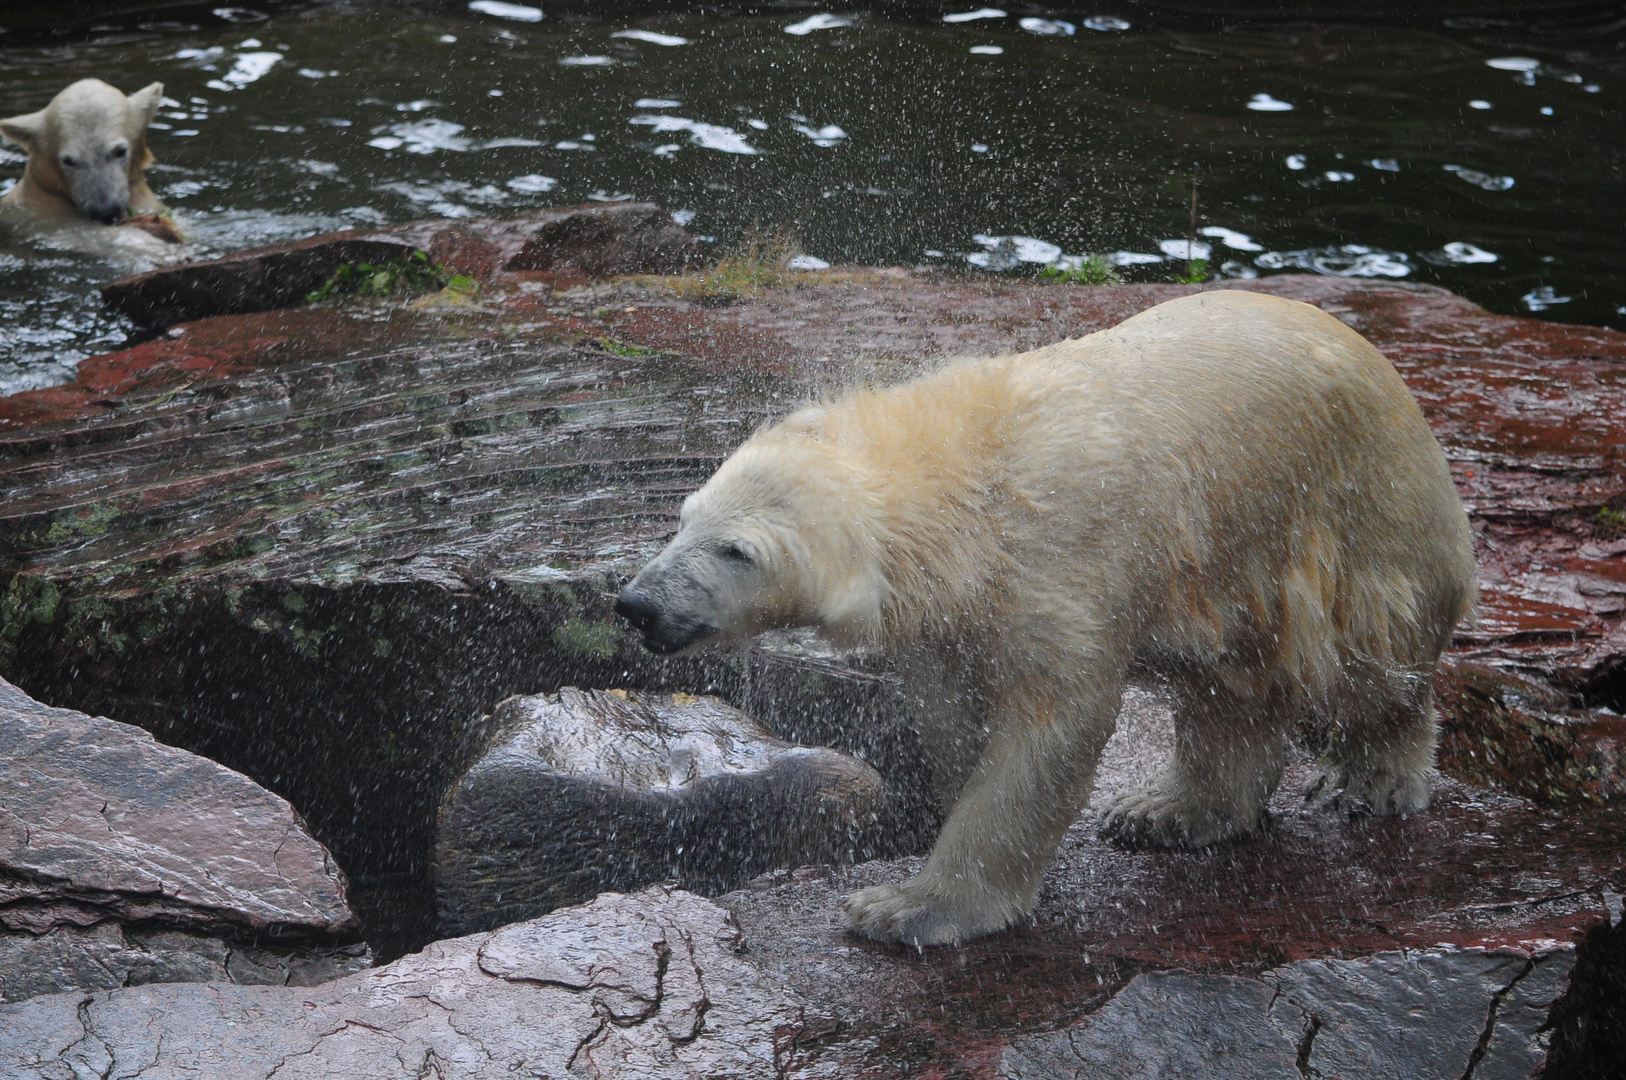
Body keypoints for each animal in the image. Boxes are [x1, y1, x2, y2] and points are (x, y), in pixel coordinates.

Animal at [614, 286, 1482, 943]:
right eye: (683, 518)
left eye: (736, 551)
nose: (636, 604)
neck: (969, 477)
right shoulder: (956, 612)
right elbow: (954, 712)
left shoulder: (1062, 553)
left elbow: (1051, 726)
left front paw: (907, 909)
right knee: (1229, 685)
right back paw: (1166, 810)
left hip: (1350, 512)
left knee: (1370, 661)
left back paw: (1366, 778)